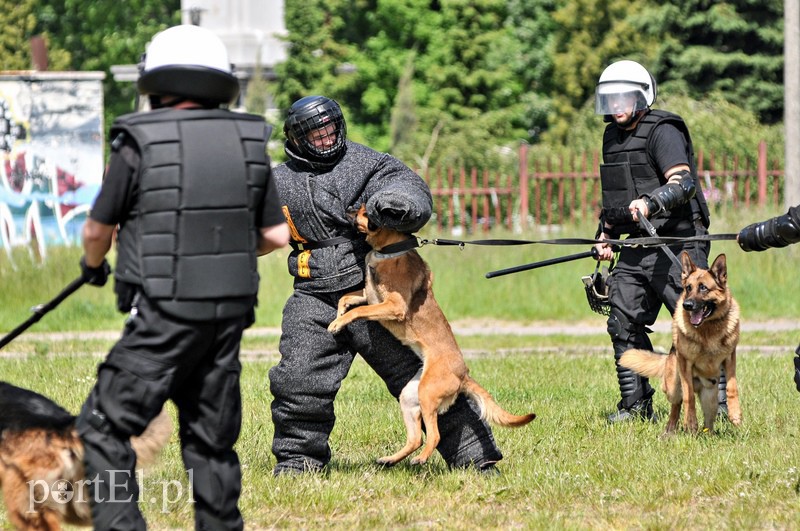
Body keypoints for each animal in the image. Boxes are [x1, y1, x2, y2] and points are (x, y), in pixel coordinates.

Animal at [328, 206, 536, 468]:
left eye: (366, 212)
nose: (350, 209)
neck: (387, 250)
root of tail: (463, 374)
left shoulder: (392, 306)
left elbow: (357, 311)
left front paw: (338, 323)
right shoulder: (368, 295)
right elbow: (346, 298)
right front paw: (338, 316)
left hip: (427, 393)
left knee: (434, 436)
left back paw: (420, 459)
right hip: (410, 396)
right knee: (415, 438)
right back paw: (391, 459)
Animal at [620, 254, 744, 436]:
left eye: (703, 288)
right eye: (688, 288)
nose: (687, 305)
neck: (708, 329)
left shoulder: (729, 358)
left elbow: (731, 387)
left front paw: (735, 414)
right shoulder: (685, 364)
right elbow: (689, 397)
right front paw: (690, 422)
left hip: (710, 400)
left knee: (708, 421)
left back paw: (708, 435)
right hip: (673, 388)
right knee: (676, 406)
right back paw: (670, 432)